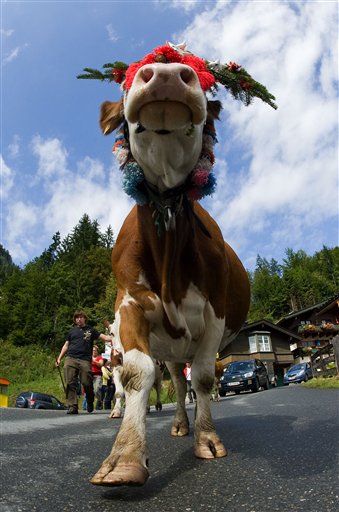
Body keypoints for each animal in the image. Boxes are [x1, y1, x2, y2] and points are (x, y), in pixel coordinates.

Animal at [80, 42, 278, 486]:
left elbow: (202, 378)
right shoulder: (130, 305)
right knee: (173, 380)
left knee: (191, 383)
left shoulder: (215, 313)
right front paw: (124, 458)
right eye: (126, 83)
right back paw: (178, 424)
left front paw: (207, 440)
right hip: (169, 351)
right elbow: (137, 377)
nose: (168, 74)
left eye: (199, 77)